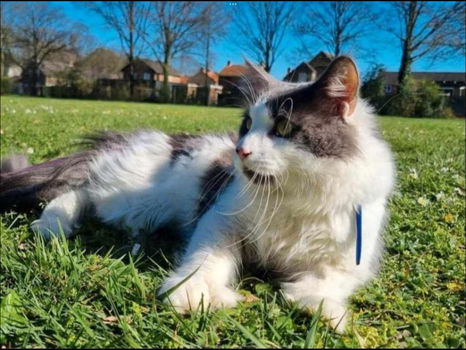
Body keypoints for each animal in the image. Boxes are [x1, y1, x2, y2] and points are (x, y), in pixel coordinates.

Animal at [0, 56, 396, 332]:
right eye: (247, 125)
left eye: (283, 127)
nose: (241, 150)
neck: (289, 197)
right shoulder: (220, 219)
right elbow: (207, 259)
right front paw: (194, 295)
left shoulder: (351, 257)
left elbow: (329, 281)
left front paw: (321, 308)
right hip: (130, 200)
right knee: (77, 190)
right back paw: (54, 225)